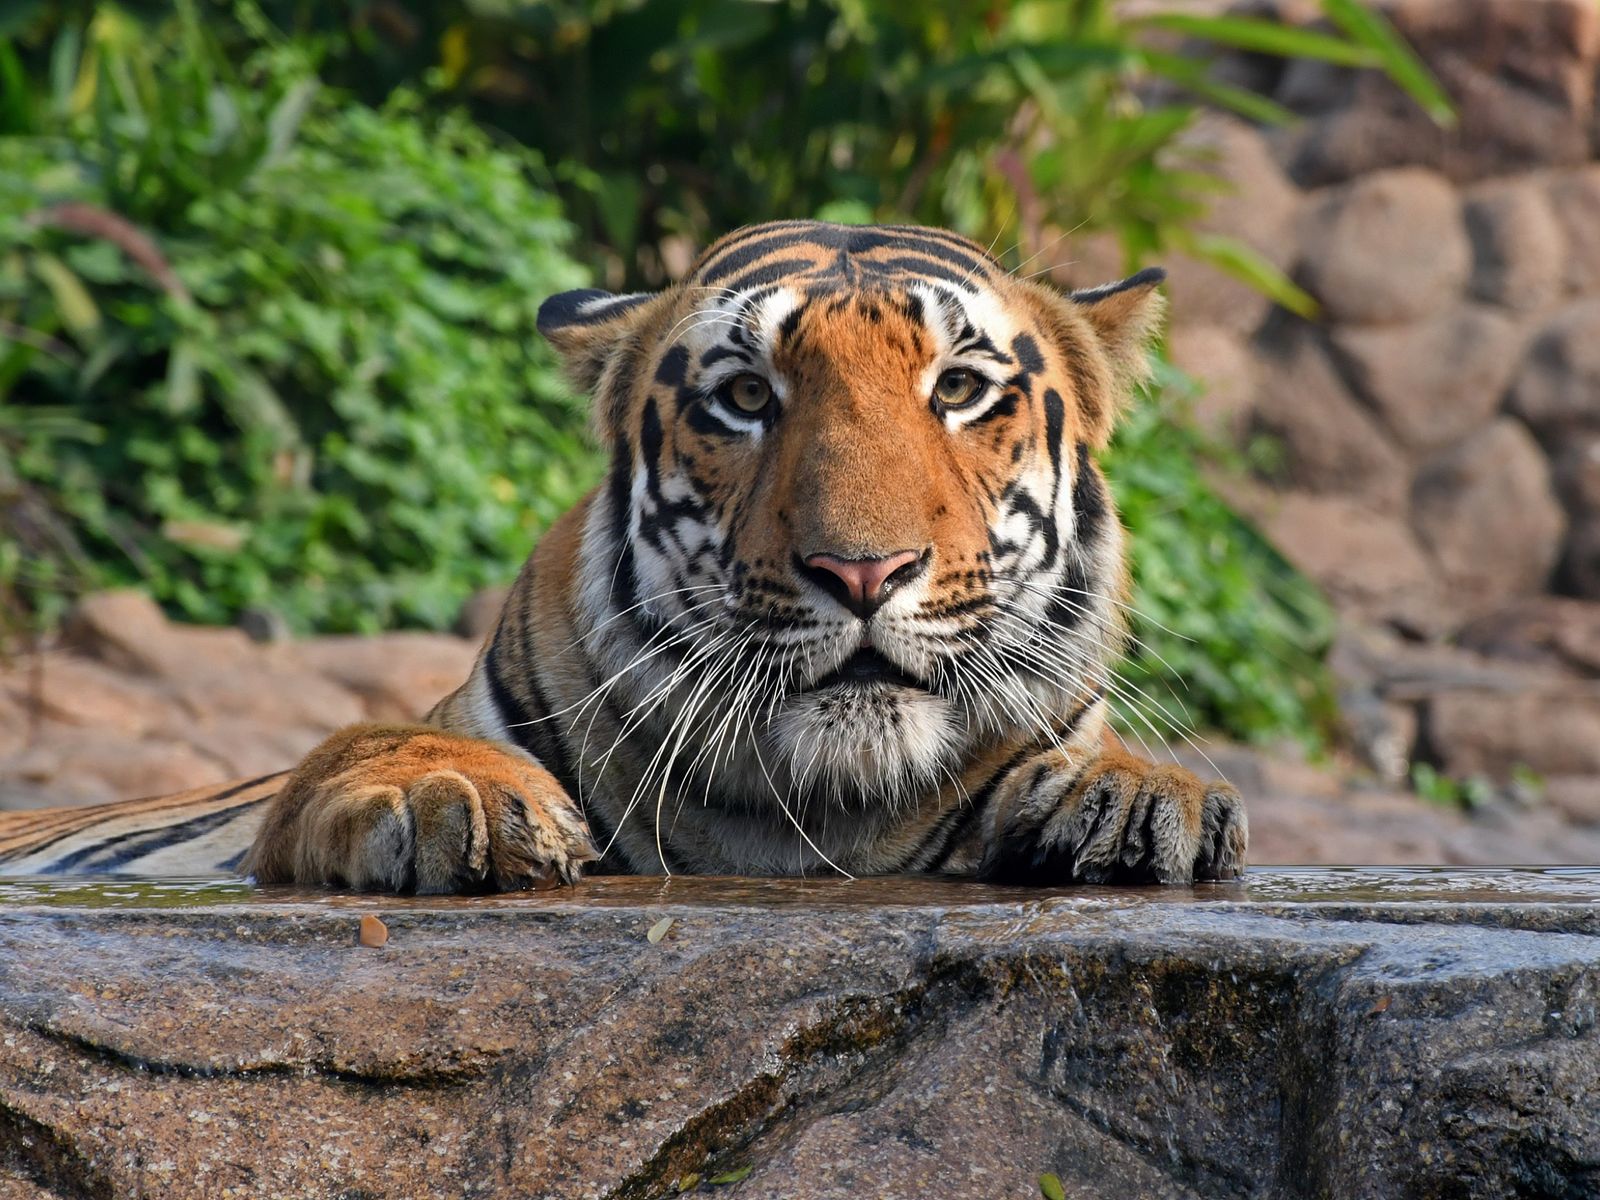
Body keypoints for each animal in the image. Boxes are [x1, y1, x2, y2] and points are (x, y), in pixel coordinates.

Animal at [0, 220, 1247, 891]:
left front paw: (1136, 798)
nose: (862, 572)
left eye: (959, 390)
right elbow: (366, 746)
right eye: (744, 397)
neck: (807, 817)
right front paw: (447, 794)